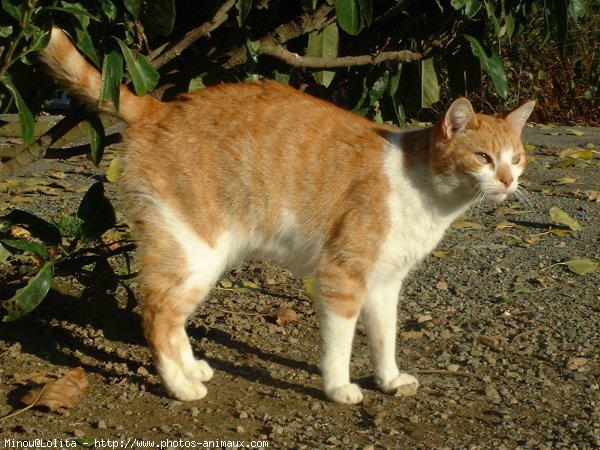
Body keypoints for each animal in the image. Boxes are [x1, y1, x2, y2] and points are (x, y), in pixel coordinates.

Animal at [41, 28, 536, 404]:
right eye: (483, 158)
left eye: (516, 158)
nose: (508, 180)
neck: (424, 191)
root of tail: (160, 105)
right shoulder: (341, 277)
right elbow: (340, 344)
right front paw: (338, 388)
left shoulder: (384, 283)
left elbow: (384, 339)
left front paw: (390, 380)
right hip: (195, 253)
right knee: (156, 314)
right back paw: (179, 387)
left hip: (199, 261)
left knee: (171, 316)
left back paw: (192, 370)